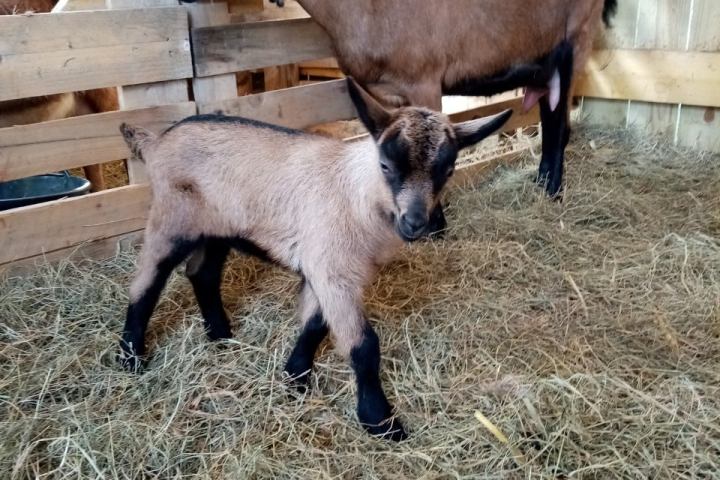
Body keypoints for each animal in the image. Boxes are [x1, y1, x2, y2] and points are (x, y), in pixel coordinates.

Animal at [117, 78, 512, 440]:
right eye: (386, 165)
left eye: (448, 170)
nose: (415, 223)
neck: (356, 194)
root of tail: (157, 142)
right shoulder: (332, 268)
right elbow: (364, 346)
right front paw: (380, 421)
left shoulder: (328, 270)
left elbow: (314, 325)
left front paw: (294, 377)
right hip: (171, 219)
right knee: (146, 282)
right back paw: (131, 357)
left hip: (218, 228)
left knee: (202, 273)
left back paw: (220, 335)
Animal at [269, 0, 618, 199]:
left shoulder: (424, 81)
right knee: (552, 118)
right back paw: (542, 182)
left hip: (575, 43)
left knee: (559, 127)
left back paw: (553, 192)